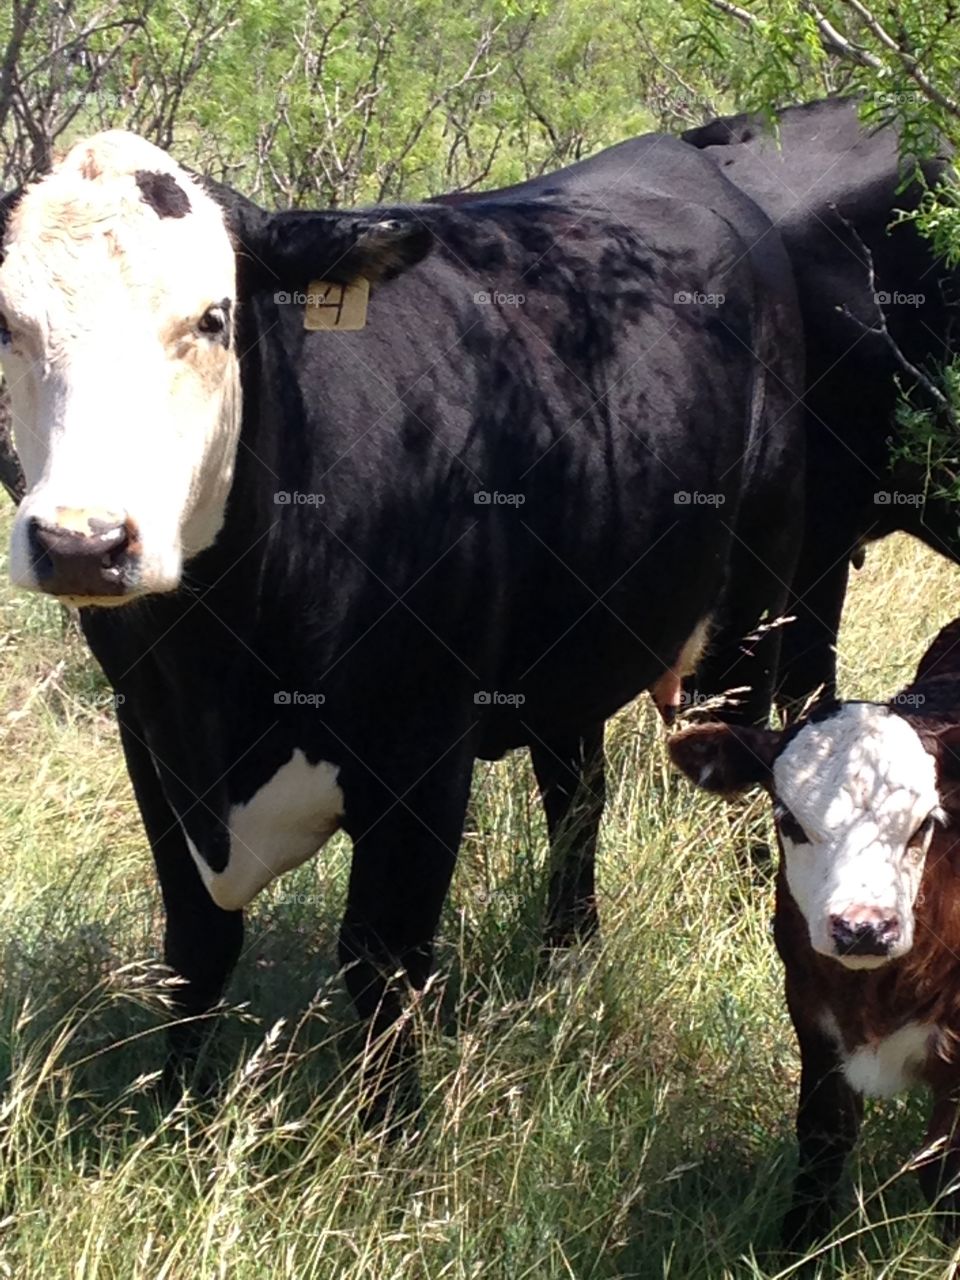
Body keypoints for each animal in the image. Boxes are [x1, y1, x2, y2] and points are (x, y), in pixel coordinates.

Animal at [0, 128, 803, 1119]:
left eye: (214, 319)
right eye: (7, 324)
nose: (82, 542)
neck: (216, 663)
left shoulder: (425, 751)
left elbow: (381, 959)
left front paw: (393, 1130)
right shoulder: (147, 731)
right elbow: (194, 946)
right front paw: (178, 1108)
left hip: (761, 604)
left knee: (744, 773)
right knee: (576, 796)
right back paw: (567, 960)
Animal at [669, 617, 960, 1249]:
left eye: (925, 825)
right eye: (789, 821)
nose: (863, 928)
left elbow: (945, 1167)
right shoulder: (811, 1010)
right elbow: (823, 1134)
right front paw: (799, 1241)